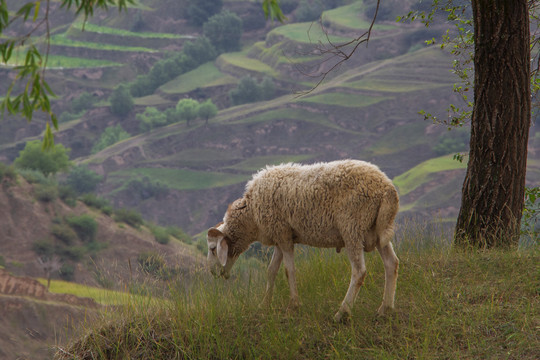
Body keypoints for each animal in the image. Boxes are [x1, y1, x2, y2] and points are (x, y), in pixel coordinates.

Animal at [208, 159, 400, 322]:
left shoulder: (283, 235)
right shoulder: (281, 235)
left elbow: (289, 271)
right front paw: (264, 304)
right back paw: (385, 309)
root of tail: (387, 187)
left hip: (352, 227)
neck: (251, 215)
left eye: (212, 249)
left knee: (359, 271)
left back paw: (342, 312)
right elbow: (271, 271)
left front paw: (293, 306)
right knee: (392, 263)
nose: (213, 273)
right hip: (376, 230)